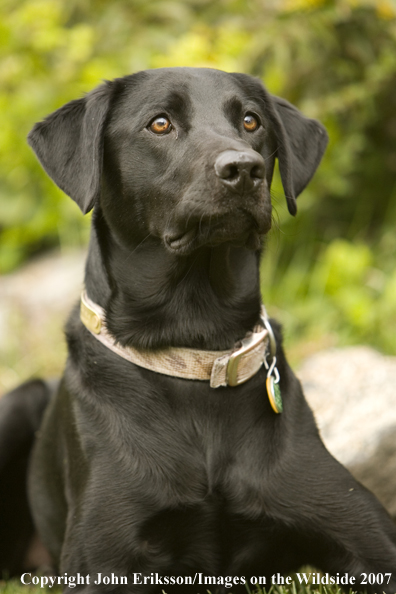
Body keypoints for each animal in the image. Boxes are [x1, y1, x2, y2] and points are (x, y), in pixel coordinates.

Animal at [0, 68, 396, 588]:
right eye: (160, 123)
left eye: (250, 121)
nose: (243, 168)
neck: (196, 345)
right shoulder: (100, 559)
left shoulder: (368, 536)